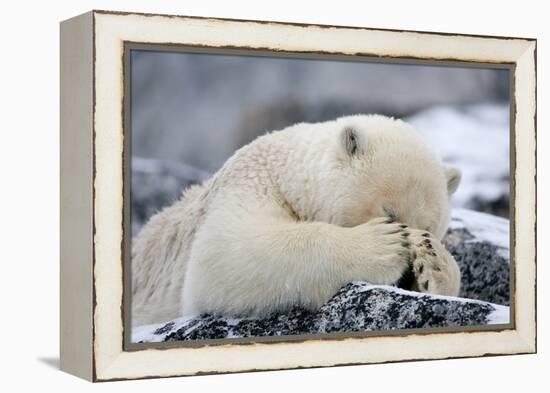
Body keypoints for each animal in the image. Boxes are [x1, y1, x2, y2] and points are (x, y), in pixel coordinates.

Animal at [132, 115, 464, 326]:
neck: (283, 169)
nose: (408, 276)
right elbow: (225, 254)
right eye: (389, 213)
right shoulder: (248, 184)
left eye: (430, 226)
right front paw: (383, 245)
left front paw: (433, 263)